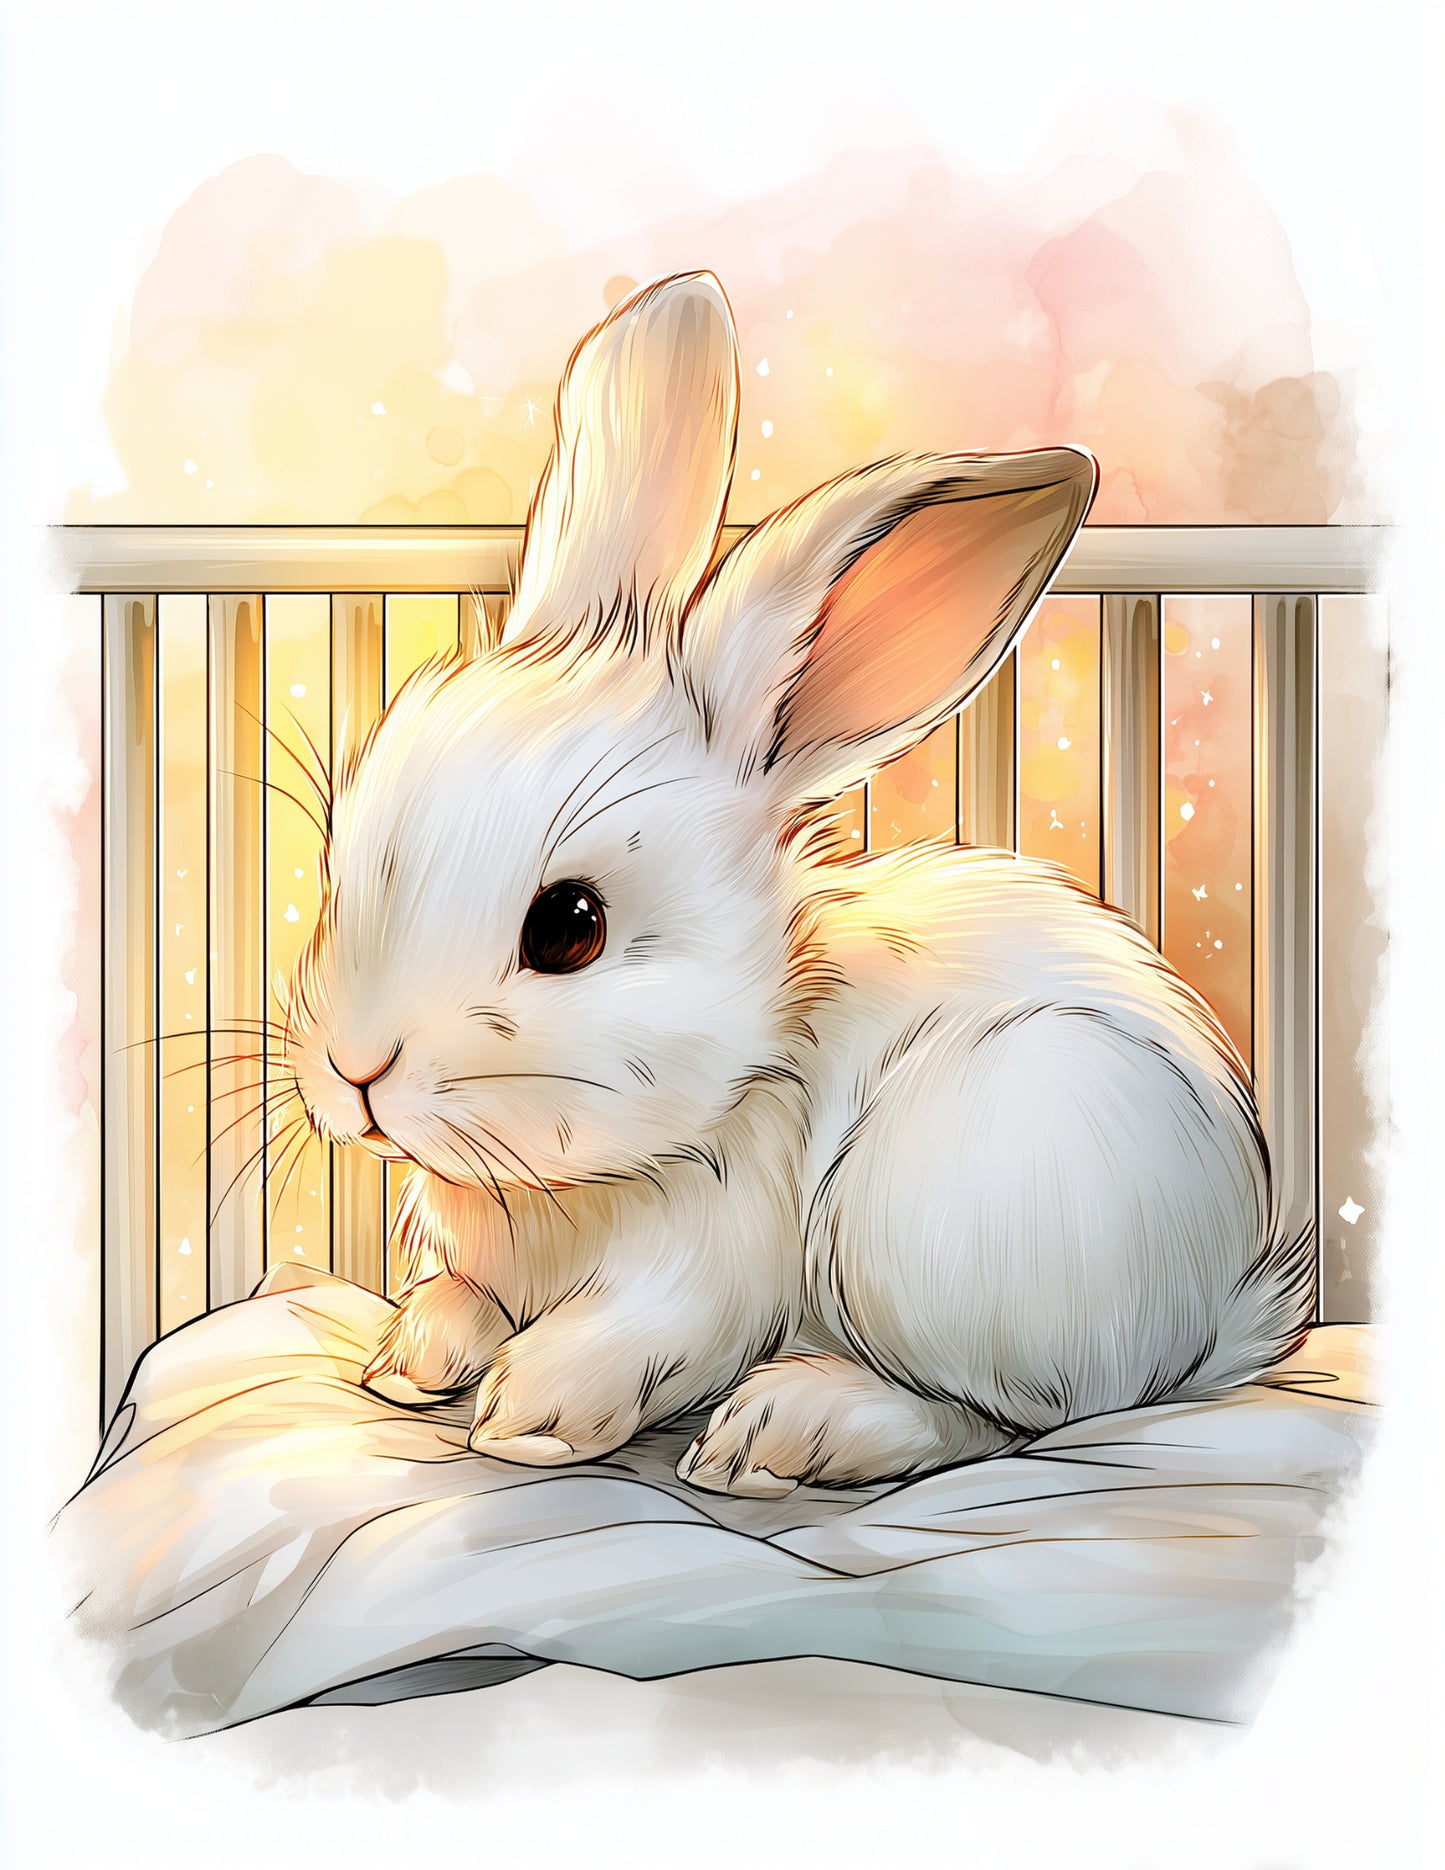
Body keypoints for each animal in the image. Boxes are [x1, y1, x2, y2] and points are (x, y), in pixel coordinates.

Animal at [283, 270, 1312, 1497]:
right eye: (340, 862)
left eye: (569, 926)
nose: (355, 1070)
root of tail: (1215, 1310)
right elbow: (456, 1300)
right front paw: (406, 1366)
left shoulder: (707, 1269)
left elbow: (631, 1339)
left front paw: (529, 1418)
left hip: (933, 1219)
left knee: (1003, 1419)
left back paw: (782, 1431)